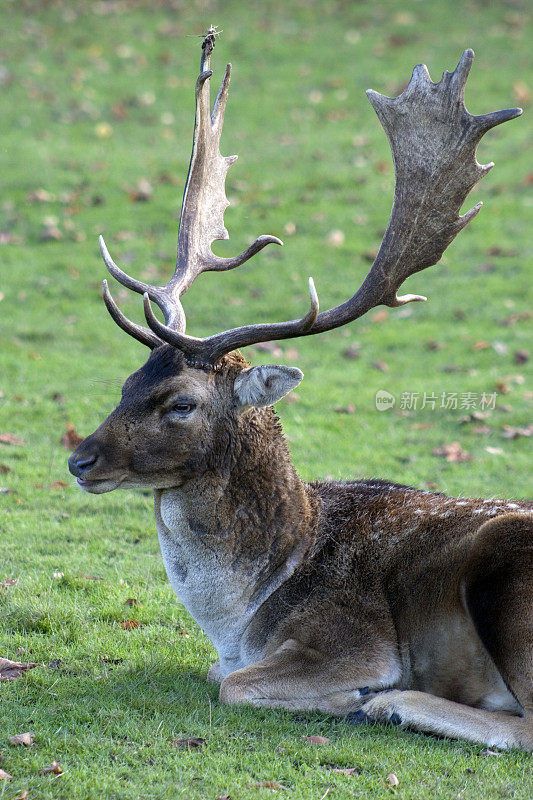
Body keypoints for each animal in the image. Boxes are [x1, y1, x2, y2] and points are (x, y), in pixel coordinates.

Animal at [68, 31, 528, 752]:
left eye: (181, 402)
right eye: (127, 382)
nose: (79, 459)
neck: (240, 618)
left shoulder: (350, 640)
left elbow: (231, 686)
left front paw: (355, 697)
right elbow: (216, 674)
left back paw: (390, 704)